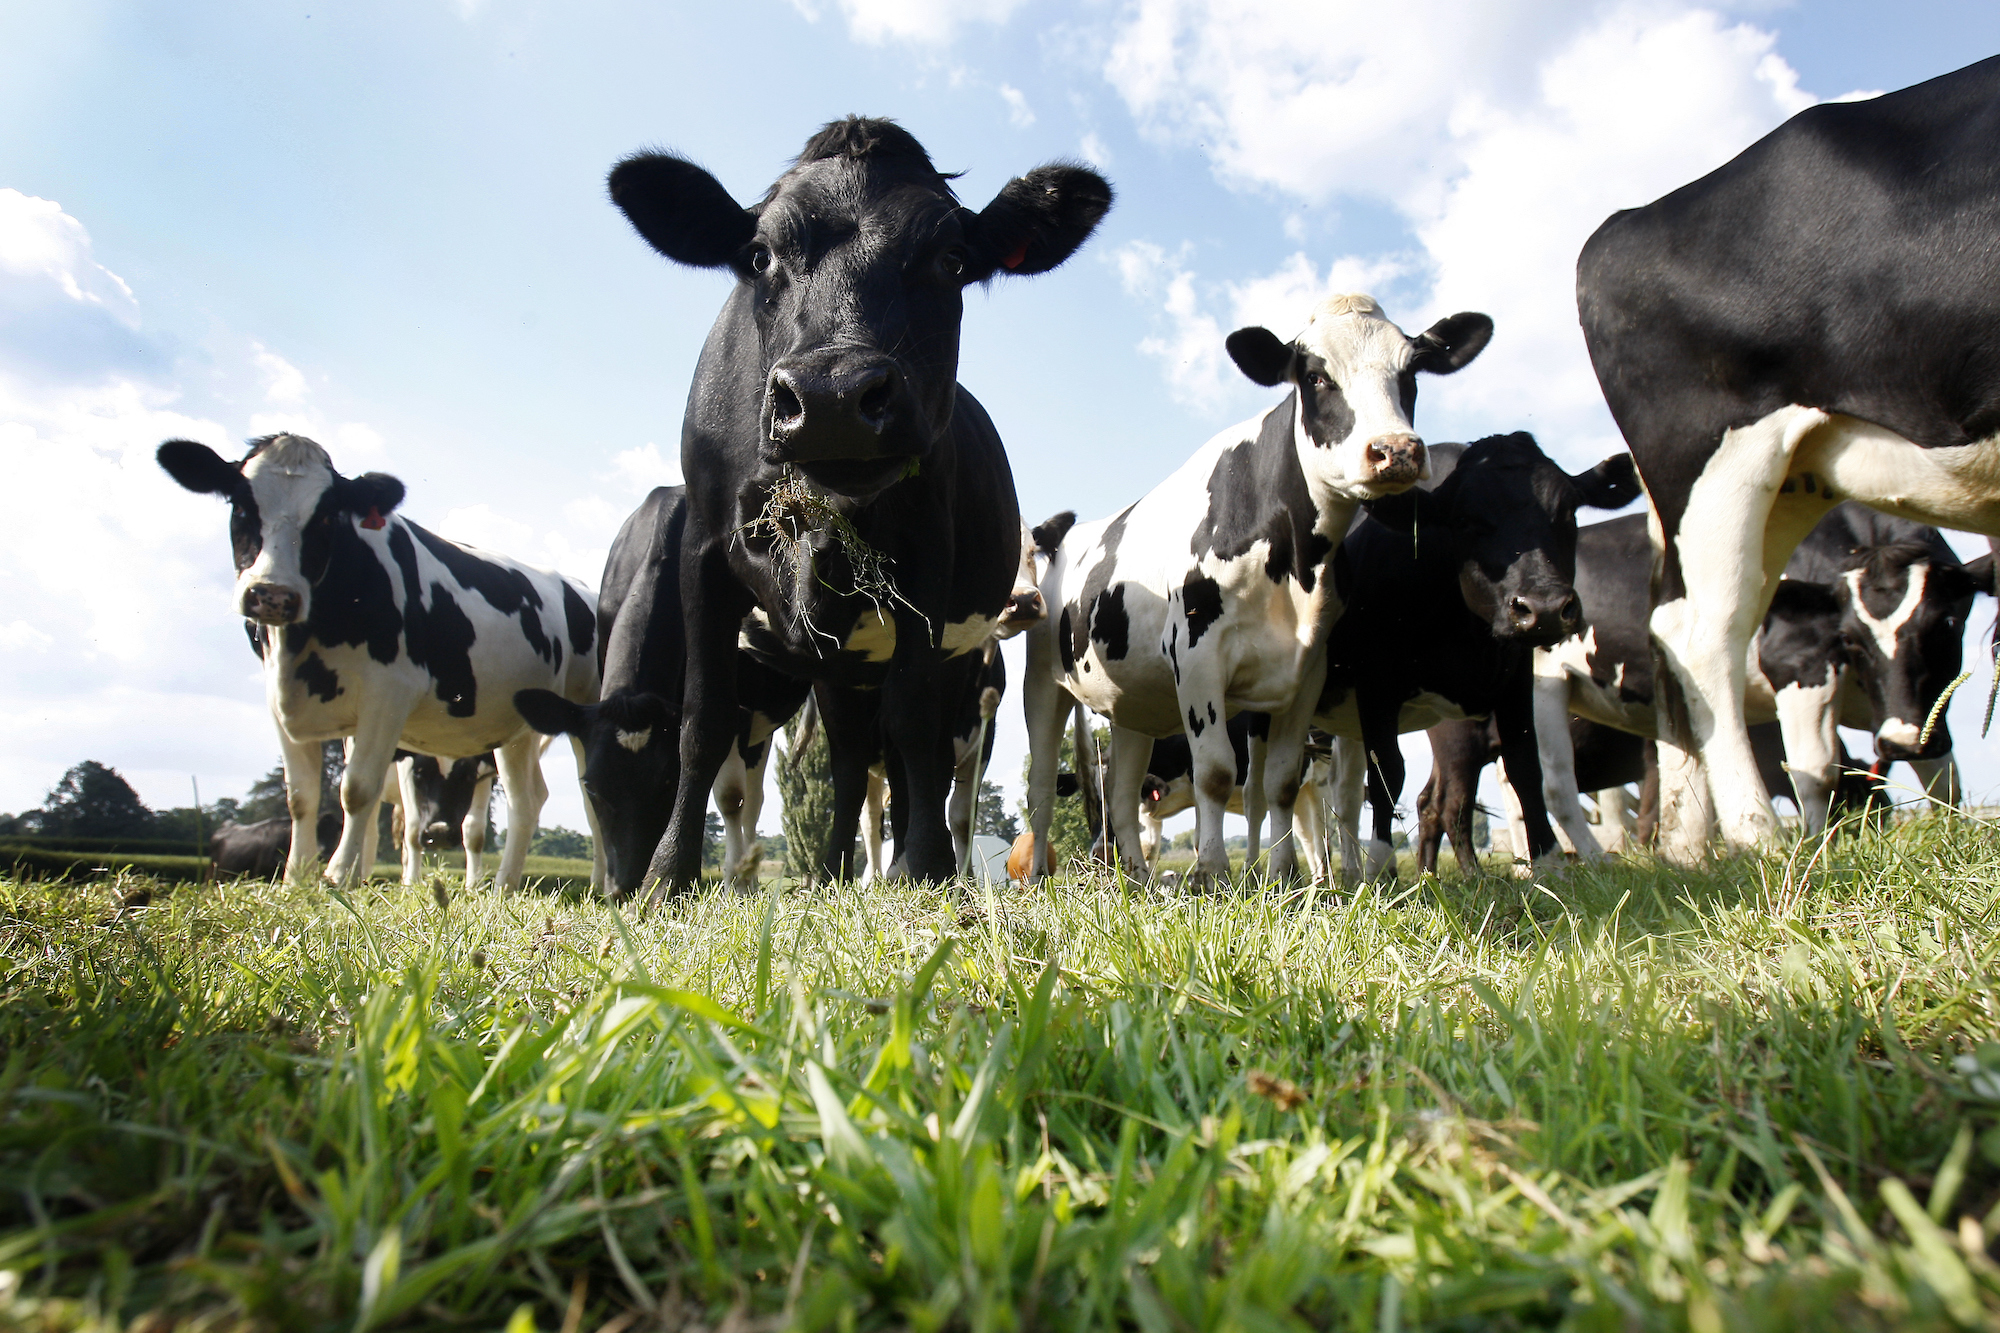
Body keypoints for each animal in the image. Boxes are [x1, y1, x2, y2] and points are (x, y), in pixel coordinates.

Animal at [515, 486, 811, 897]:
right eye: (591, 786)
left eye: (669, 780)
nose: (625, 886)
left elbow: (729, 795)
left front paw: (733, 881)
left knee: (750, 802)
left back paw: (745, 879)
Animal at [607, 117, 1111, 894]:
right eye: (761, 254)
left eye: (951, 259)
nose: (834, 398)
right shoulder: (702, 551)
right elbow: (702, 718)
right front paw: (667, 875)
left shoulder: (928, 564)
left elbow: (912, 727)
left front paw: (924, 865)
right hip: (836, 674)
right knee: (849, 762)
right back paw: (828, 873)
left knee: (913, 760)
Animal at [1025, 293, 1495, 883]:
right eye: (1315, 376)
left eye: (1410, 372)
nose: (1395, 450)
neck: (1297, 568)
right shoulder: (1197, 655)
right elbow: (1217, 773)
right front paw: (1211, 873)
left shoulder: (1306, 672)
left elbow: (1281, 782)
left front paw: (1286, 878)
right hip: (1043, 684)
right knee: (1042, 790)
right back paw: (1038, 878)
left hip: (1134, 700)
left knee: (1123, 791)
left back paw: (1138, 881)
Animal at [1311, 433, 1640, 879]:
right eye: (1465, 520)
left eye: (1569, 511)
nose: (1545, 607)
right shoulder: (1376, 684)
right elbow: (1389, 772)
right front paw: (1380, 870)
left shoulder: (1516, 679)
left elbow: (1525, 768)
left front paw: (1549, 865)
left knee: (1344, 794)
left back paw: (1348, 876)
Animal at [1575, 55, 2000, 860]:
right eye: (1852, 642)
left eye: (1946, 625)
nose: (1901, 738)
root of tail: (1625, 220)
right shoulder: (1805, 663)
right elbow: (1818, 764)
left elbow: (1940, 764)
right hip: (1716, 463)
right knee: (1703, 634)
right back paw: (1757, 836)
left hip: (1788, 479)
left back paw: (1688, 844)